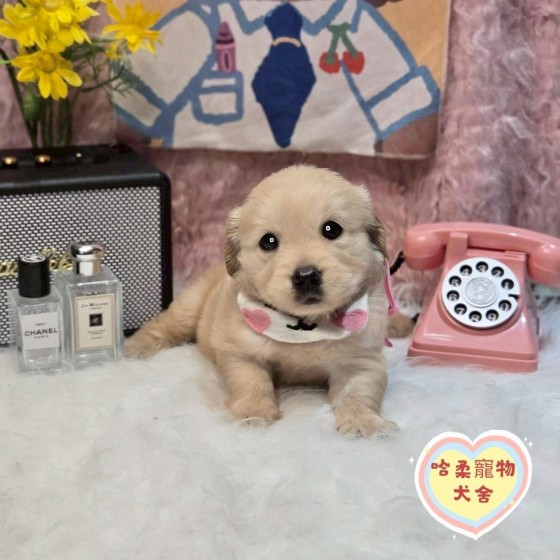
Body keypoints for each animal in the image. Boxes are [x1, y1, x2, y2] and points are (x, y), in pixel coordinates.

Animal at [125, 165, 412, 436]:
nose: (306, 276)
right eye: (269, 241)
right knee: (167, 323)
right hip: (190, 306)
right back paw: (137, 346)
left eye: (332, 229)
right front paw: (253, 414)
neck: (306, 326)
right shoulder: (241, 351)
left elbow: (359, 391)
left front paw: (365, 424)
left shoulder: (362, 359)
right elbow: (251, 382)